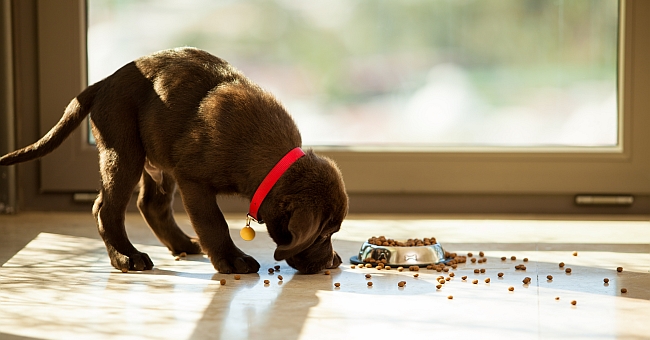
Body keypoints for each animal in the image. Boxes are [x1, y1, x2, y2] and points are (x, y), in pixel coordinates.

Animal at [0, 47, 346, 274]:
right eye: (323, 234)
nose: (331, 262)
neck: (269, 159)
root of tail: (104, 82)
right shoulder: (194, 179)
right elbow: (214, 222)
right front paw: (232, 259)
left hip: (157, 158)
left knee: (150, 204)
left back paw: (181, 244)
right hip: (124, 151)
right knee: (106, 208)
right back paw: (126, 258)